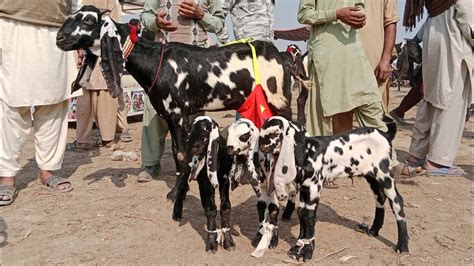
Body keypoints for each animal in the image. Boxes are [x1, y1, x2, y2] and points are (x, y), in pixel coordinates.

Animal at [56, 5, 308, 206]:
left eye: (89, 20)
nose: (60, 37)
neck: (157, 62)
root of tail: (282, 57)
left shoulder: (179, 114)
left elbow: (181, 153)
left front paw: (178, 191)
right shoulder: (168, 114)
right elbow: (178, 152)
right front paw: (179, 188)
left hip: (279, 101)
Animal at [182, 116, 234, 251]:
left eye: (204, 136)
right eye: (189, 134)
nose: (191, 149)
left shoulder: (224, 179)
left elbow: (225, 207)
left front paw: (228, 240)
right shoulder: (206, 181)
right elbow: (211, 208)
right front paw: (211, 242)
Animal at [258, 117, 410, 262]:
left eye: (274, 133)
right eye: (261, 133)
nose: (261, 148)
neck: (306, 152)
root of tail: (384, 134)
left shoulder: (313, 190)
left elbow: (309, 217)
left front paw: (306, 252)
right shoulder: (305, 191)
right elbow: (302, 215)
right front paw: (297, 248)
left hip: (384, 176)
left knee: (397, 202)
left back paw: (402, 246)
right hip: (371, 176)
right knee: (380, 198)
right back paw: (373, 230)